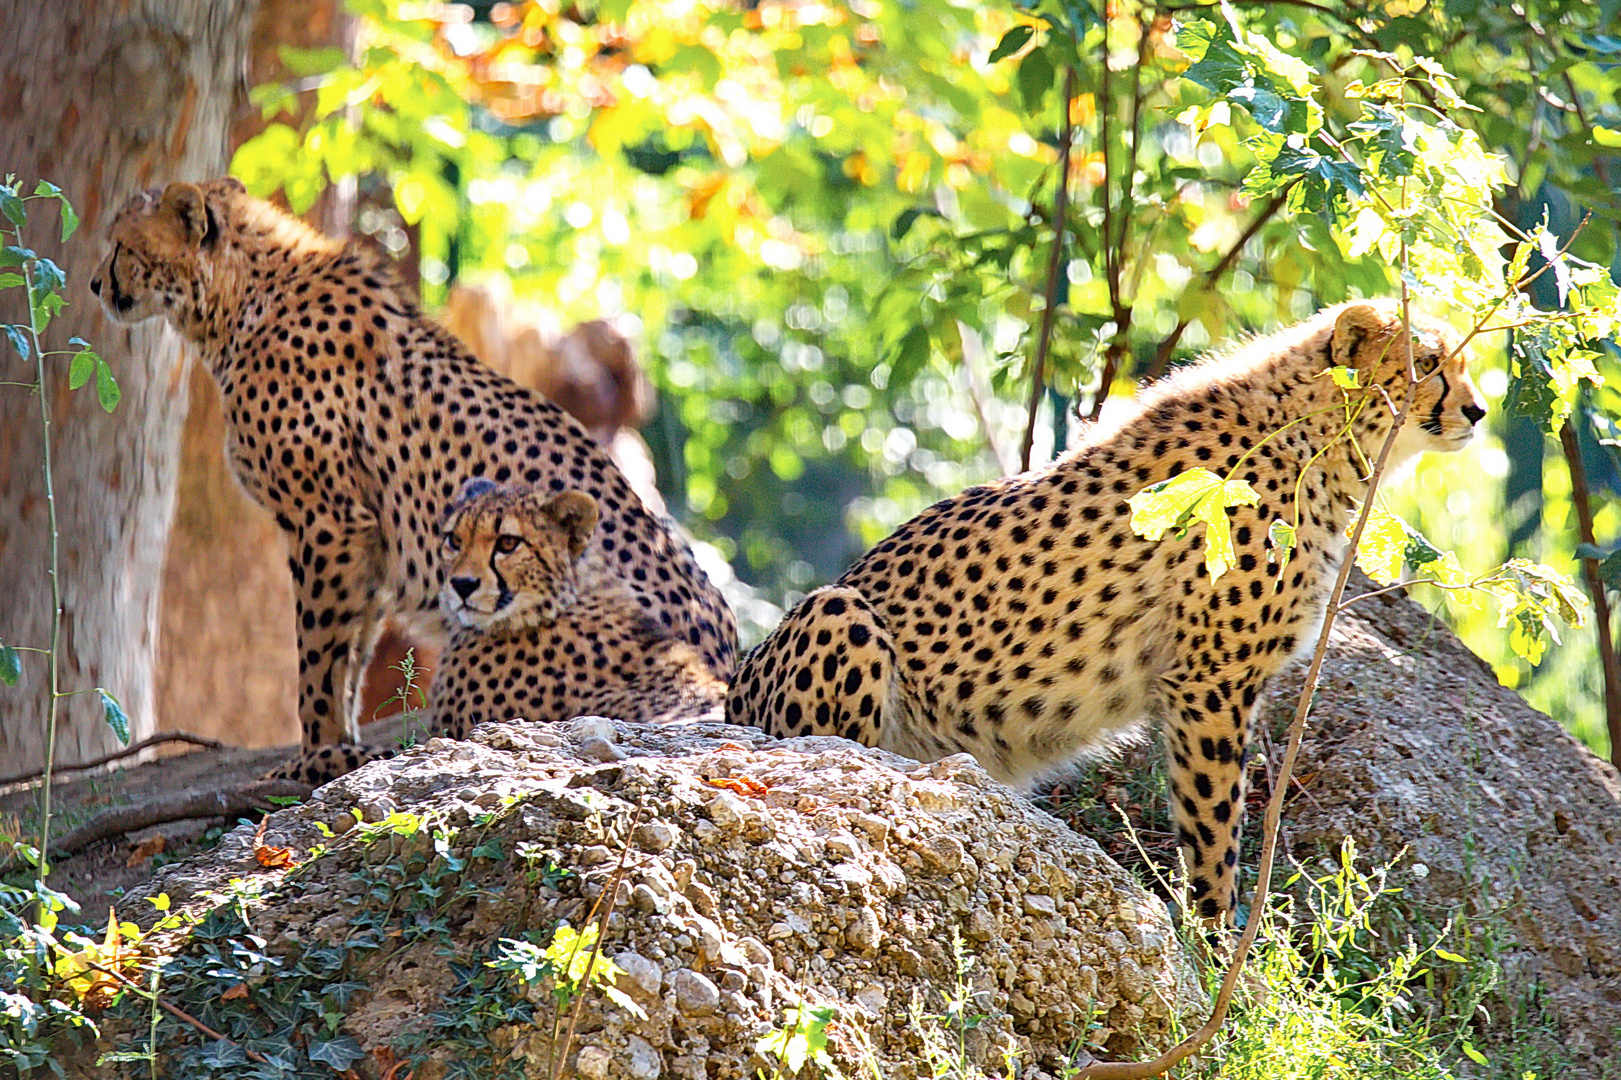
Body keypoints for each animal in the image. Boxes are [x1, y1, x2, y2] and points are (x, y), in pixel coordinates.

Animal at [729, 298, 1484, 921]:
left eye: (1463, 362)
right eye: (1426, 364)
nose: (1477, 411)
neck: (1320, 437)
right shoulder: (1209, 683)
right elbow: (1214, 830)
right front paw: (1215, 953)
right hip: (838, 611)